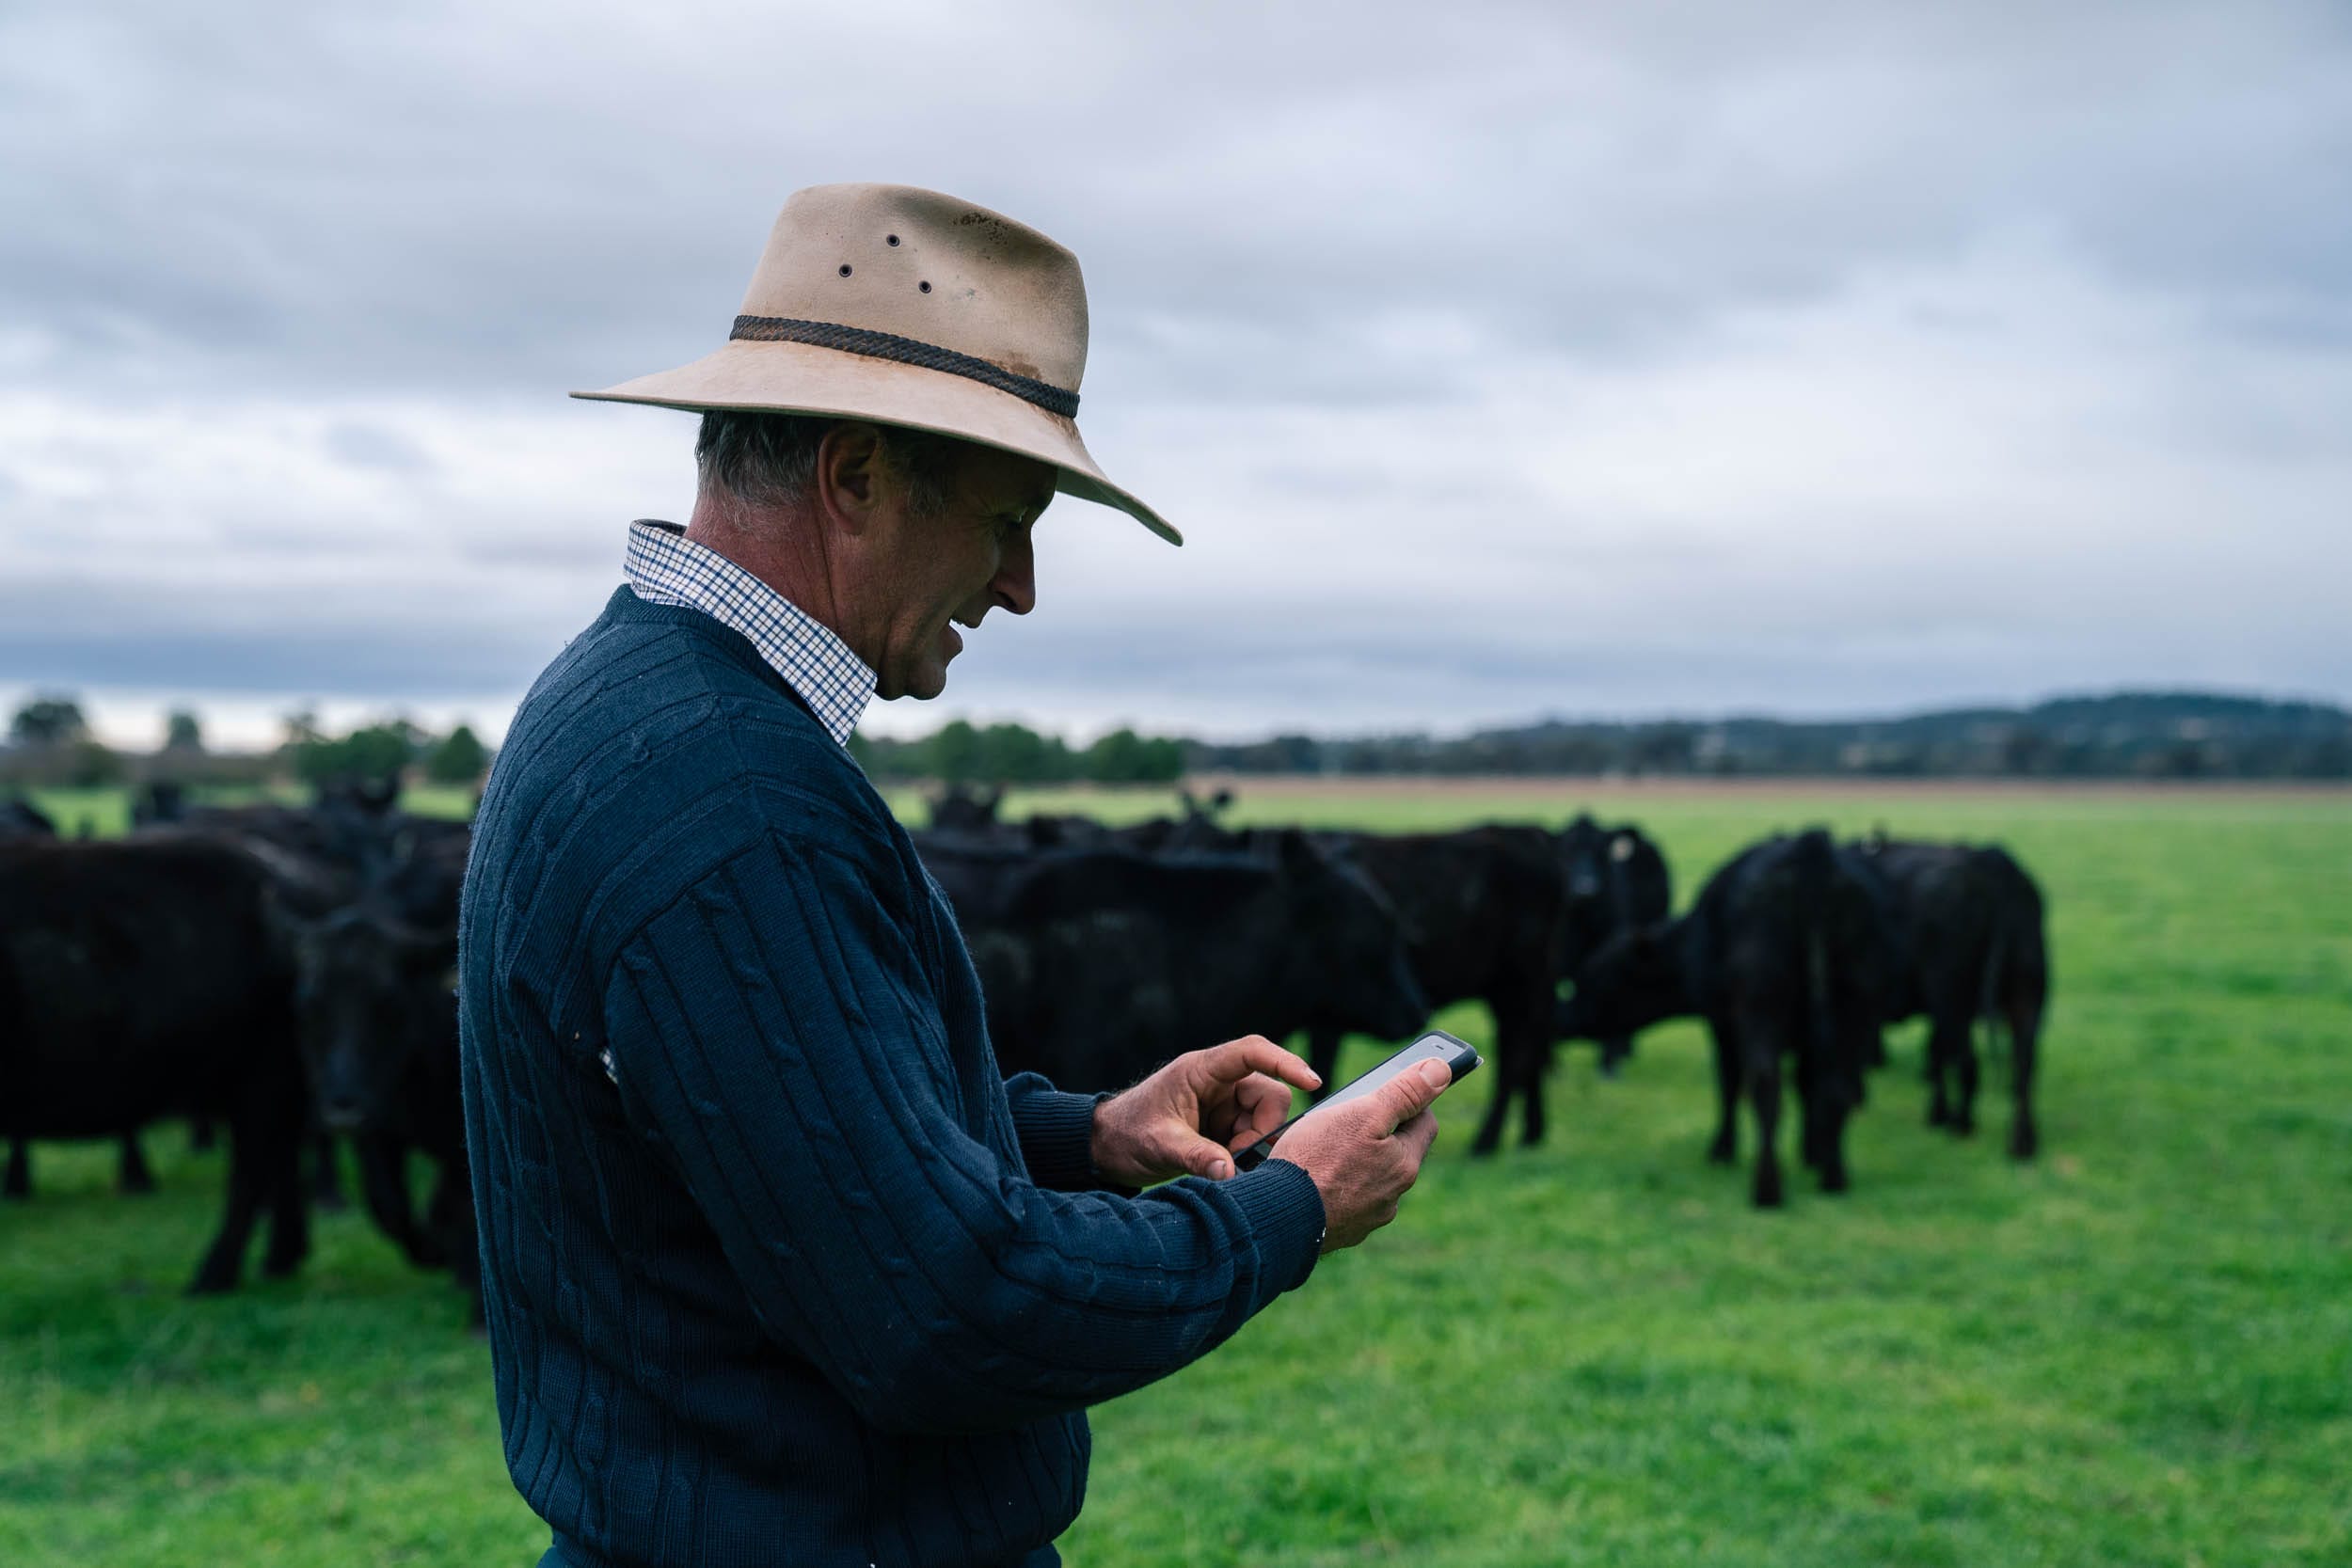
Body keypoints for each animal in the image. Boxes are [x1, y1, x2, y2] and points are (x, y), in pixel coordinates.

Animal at [1844, 841, 2051, 1161]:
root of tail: (1993, 864)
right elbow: (1935, 1053)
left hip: (1953, 995)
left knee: (1970, 1062)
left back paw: (1961, 1124)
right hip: (2025, 996)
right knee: (2024, 1068)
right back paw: (2022, 1143)